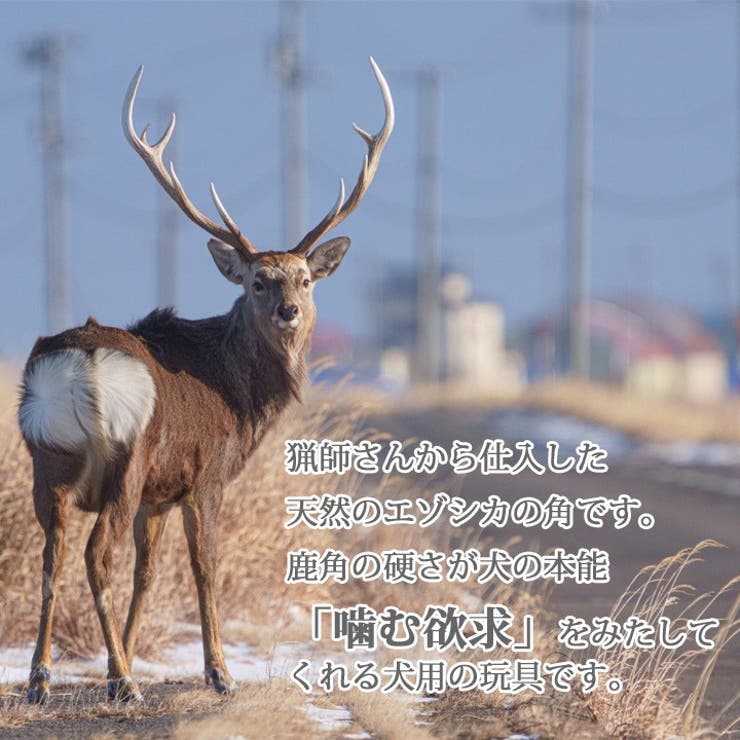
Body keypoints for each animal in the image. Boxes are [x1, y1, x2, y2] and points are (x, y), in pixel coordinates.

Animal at [17, 58, 393, 704]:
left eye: (305, 279)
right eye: (257, 281)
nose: (290, 311)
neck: (238, 392)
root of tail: (81, 361)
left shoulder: (159, 494)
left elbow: (147, 574)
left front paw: (128, 653)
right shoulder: (205, 475)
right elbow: (202, 567)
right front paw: (218, 672)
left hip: (50, 459)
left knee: (54, 553)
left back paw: (41, 678)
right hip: (127, 457)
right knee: (95, 555)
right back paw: (123, 684)